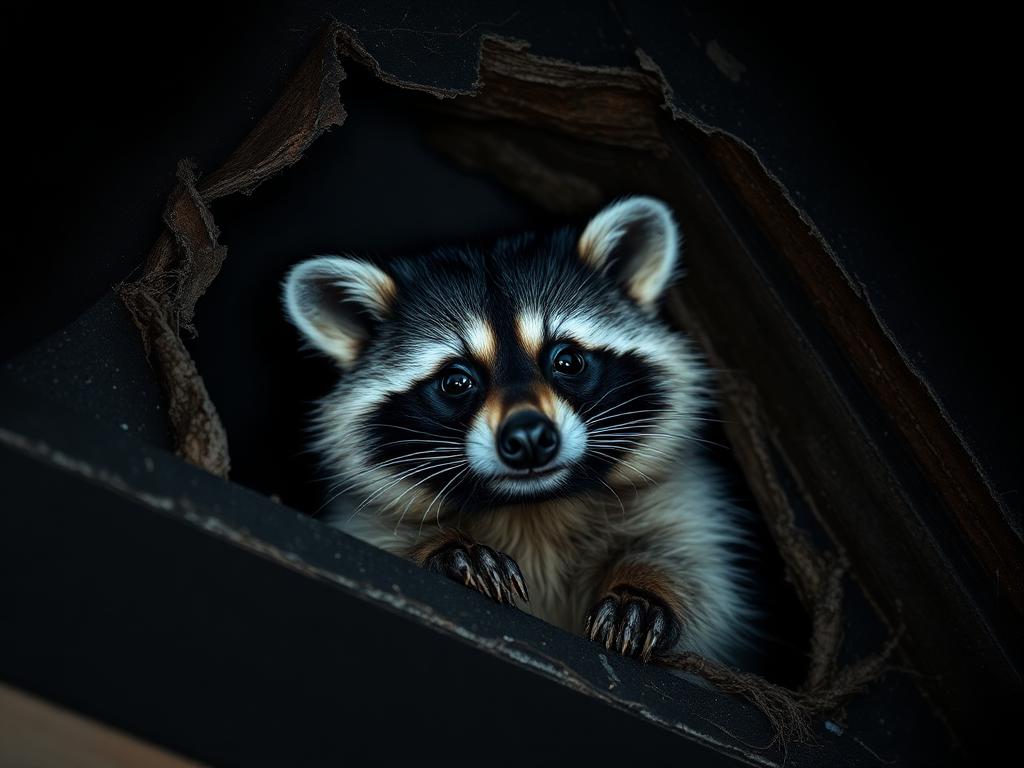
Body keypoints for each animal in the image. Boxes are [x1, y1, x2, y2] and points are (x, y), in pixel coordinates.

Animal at [283, 197, 752, 664]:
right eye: (456, 381)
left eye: (568, 360)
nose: (528, 438)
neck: (533, 506)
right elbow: (378, 543)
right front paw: (443, 547)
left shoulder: (679, 502)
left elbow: (695, 569)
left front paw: (643, 587)